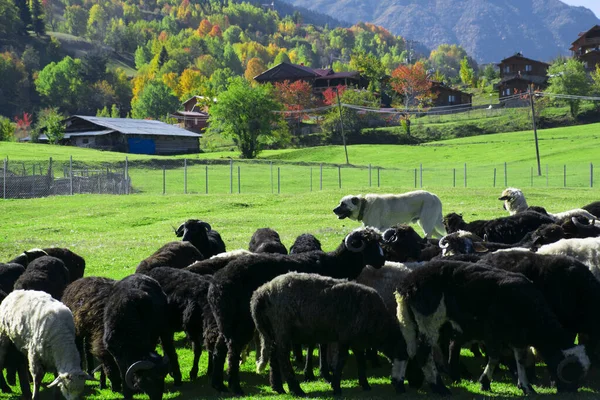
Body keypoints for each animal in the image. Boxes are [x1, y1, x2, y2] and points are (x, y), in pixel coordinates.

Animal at [253, 274, 408, 396]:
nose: (402, 389)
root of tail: (262, 292)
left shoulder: (356, 338)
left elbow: (360, 360)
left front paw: (365, 384)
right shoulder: (346, 336)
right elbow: (342, 360)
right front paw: (336, 387)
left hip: (272, 329)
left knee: (273, 355)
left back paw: (278, 387)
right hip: (282, 326)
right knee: (283, 357)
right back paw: (296, 389)